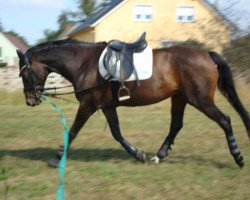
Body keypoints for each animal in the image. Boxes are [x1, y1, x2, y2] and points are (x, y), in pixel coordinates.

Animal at [16, 38, 249, 168]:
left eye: (24, 74)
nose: (30, 100)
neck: (85, 64)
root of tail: (207, 55)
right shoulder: (107, 106)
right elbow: (117, 133)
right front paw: (138, 154)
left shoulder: (88, 106)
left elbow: (72, 132)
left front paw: (56, 159)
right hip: (180, 98)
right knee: (176, 125)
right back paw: (158, 156)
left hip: (200, 100)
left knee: (225, 120)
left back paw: (238, 157)